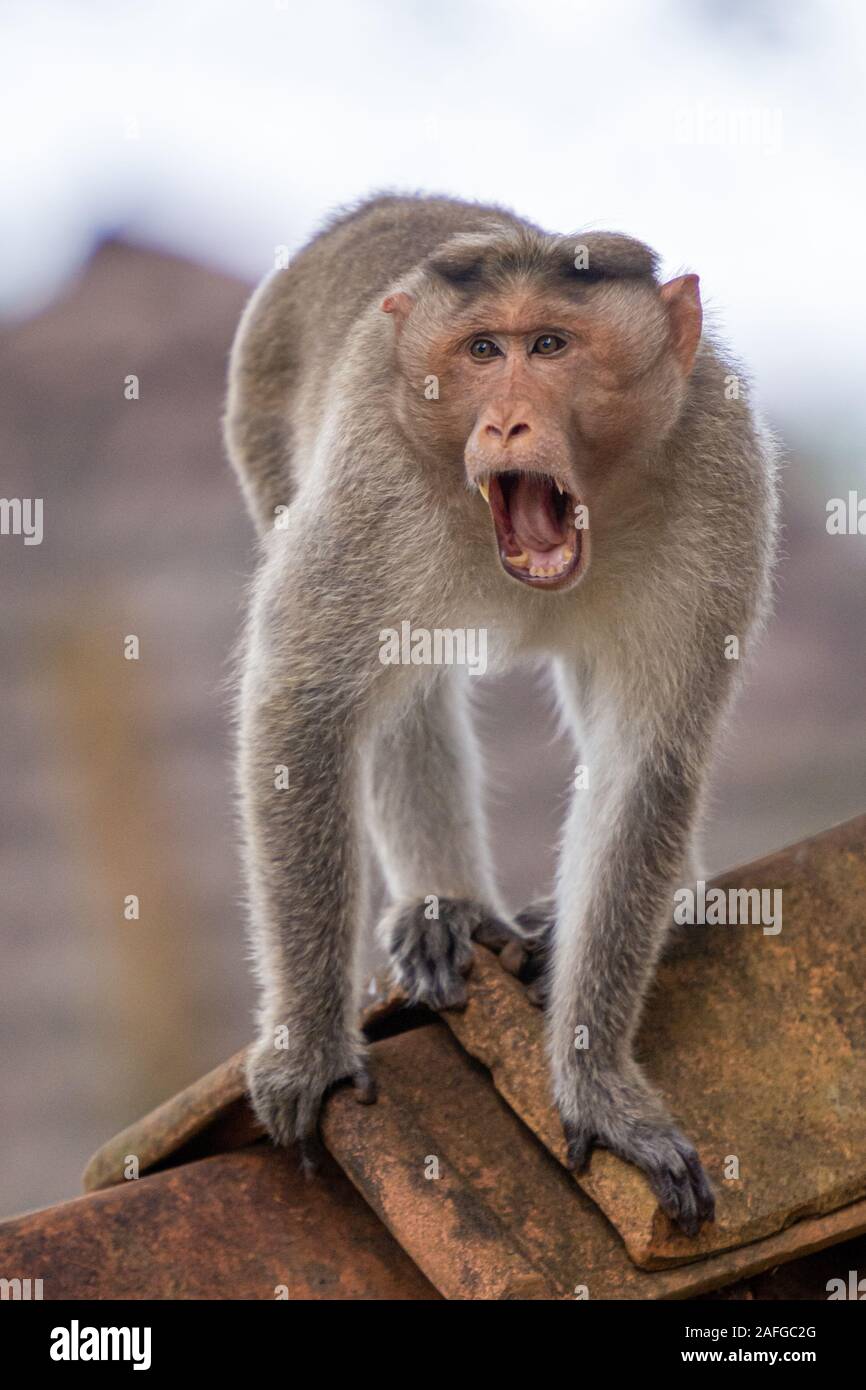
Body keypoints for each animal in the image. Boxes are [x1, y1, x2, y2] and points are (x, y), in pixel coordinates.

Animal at [223, 190, 778, 1234]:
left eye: (551, 344)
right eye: (483, 352)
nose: (511, 424)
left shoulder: (718, 469)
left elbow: (646, 761)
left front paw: (597, 1083)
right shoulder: (376, 476)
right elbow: (304, 706)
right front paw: (309, 1049)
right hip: (266, 428)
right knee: (402, 686)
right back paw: (444, 908)